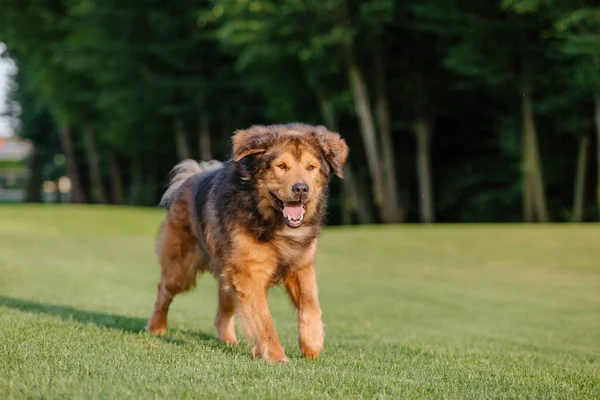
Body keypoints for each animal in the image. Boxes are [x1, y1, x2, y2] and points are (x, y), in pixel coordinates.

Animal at [146, 122, 350, 362]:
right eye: (281, 166)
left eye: (311, 167)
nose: (301, 189)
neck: (274, 223)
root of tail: (191, 177)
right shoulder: (249, 273)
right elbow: (264, 320)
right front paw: (276, 356)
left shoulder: (302, 265)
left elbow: (310, 304)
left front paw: (312, 343)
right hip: (180, 271)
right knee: (163, 292)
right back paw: (156, 328)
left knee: (222, 311)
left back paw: (229, 341)